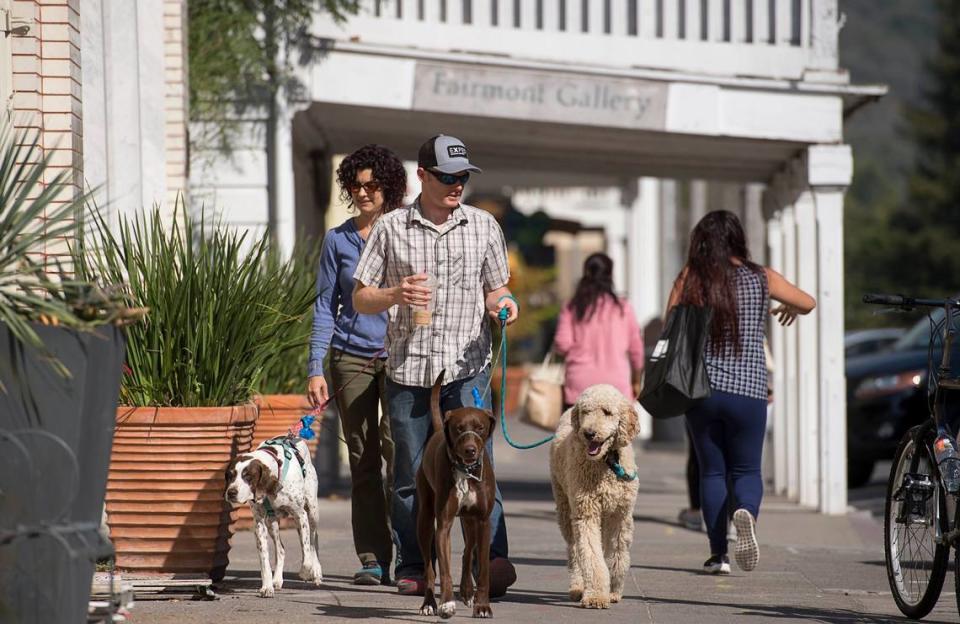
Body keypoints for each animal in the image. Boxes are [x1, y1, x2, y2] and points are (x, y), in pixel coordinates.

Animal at [224, 436, 322, 596]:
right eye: (230, 475)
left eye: (248, 476)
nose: (231, 492)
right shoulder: (259, 524)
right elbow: (264, 560)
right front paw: (267, 586)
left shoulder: (300, 515)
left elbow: (307, 552)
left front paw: (306, 572)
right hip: (272, 522)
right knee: (281, 549)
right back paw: (277, 579)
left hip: (312, 512)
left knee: (313, 541)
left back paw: (317, 571)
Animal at [416, 372, 498, 616]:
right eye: (459, 428)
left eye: (480, 428)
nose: (470, 449)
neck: (466, 471)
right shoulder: (443, 523)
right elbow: (443, 569)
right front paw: (446, 603)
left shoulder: (483, 521)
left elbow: (483, 569)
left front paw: (482, 605)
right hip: (425, 519)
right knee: (429, 568)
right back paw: (429, 603)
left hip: (470, 521)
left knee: (467, 551)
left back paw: (467, 591)